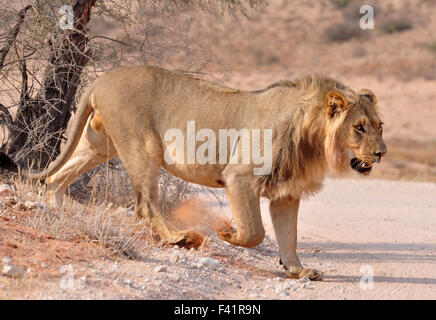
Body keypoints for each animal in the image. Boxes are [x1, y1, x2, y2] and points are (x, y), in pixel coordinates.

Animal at [0, 65, 388, 280]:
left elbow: (287, 236)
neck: (312, 138)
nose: (382, 153)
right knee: (145, 205)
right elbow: (255, 232)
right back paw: (179, 238)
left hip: (98, 145)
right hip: (144, 147)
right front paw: (226, 231)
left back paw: (56, 212)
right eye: (359, 128)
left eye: (379, 125)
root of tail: (102, 80)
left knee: (56, 177)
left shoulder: (286, 192)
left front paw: (298, 270)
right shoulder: (241, 177)